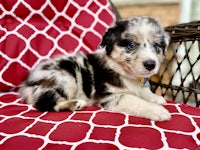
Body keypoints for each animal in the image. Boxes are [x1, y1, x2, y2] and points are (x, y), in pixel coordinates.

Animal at [18, 16, 171, 120]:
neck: (124, 73)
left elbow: (144, 92)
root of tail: (26, 84)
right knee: (44, 103)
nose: (151, 64)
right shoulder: (109, 96)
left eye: (156, 45)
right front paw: (158, 110)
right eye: (131, 45)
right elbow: (135, 100)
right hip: (66, 78)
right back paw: (75, 103)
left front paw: (155, 98)